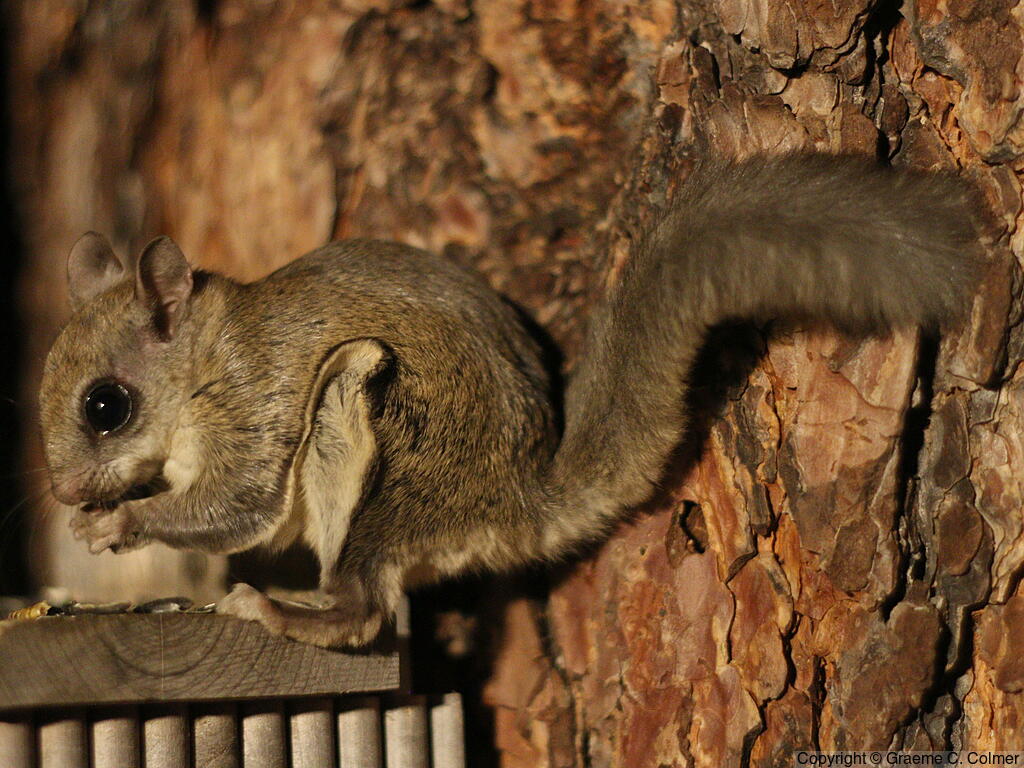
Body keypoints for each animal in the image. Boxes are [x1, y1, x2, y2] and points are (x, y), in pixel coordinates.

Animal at [38, 154, 981, 648]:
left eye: (106, 406)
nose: (65, 493)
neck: (201, 358)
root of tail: (513, 500)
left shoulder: (253, 400)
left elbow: (235, 507)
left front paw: (120, 522)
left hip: (382, 436)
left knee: (370, 613)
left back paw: (276, 607)